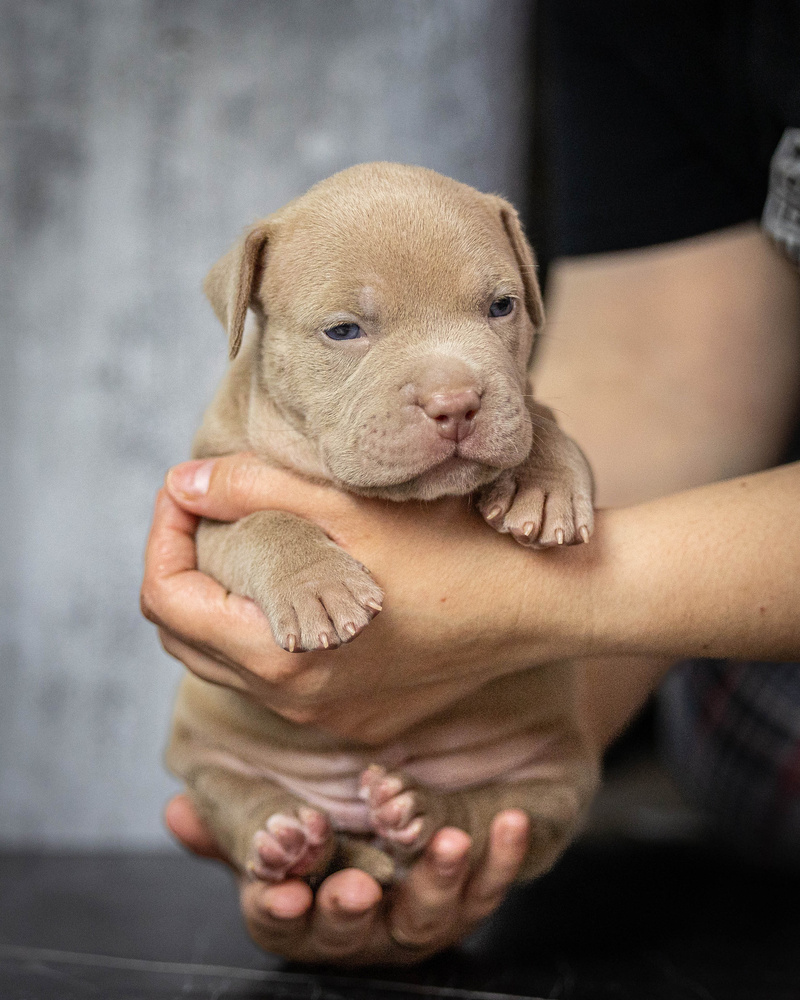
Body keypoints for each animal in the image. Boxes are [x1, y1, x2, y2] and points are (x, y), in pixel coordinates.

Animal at [166, 162, 596, 884]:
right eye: (344, 331)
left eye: (501, 307)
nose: (455, 402)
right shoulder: (206, 506)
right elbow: (263, 523)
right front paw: (317, 587)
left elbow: (539, 414)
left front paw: (546, 482)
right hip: (202, 755)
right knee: (237, 799)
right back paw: (290, 841)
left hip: (554, 779)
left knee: (487, 816)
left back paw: (416, 810)